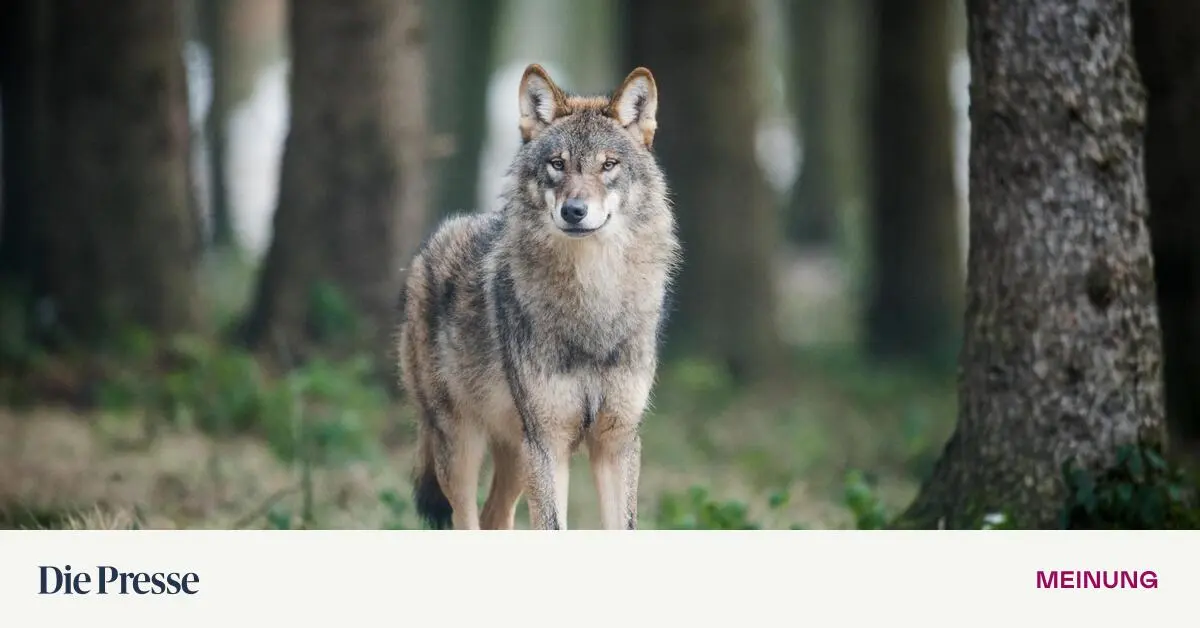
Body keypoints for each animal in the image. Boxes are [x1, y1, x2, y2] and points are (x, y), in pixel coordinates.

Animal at [396, 64, 680, 530]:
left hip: (515, 454)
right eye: (557, 164)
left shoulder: (617, 443)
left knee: (495, 517)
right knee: (467, 519)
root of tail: (425, 249)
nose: (574, 211)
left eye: (608, 165)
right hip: (463, 446)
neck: (593, 301)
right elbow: (551, 525)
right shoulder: (547, 442)